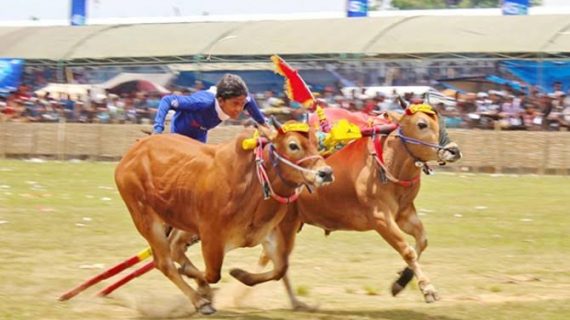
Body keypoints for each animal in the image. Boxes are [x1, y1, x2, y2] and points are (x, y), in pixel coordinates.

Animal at [113, 120, 330, 316]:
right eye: (293, 145)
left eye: (315, 142)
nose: (326, 172)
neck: (253, 184)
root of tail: (134, 150)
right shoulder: (212, 236)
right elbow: (212, 274)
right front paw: (200, 287)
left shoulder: (267, 234)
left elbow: (280, 269)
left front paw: (239, 274)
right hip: (146, 218)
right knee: (164, 263)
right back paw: (200, 301)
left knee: (174, 249)